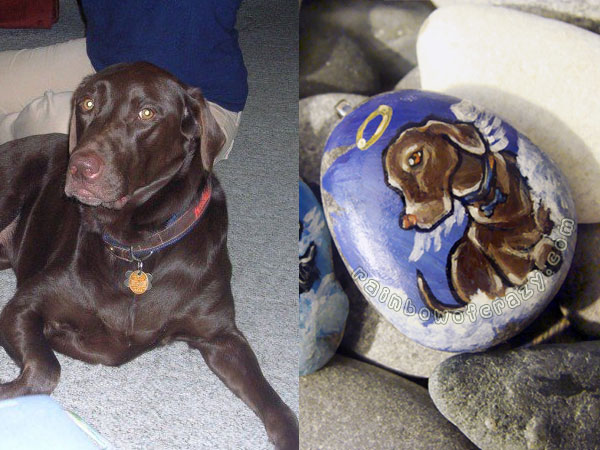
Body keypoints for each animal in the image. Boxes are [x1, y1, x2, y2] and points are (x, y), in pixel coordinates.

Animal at [384, 119, 556, 312]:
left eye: (415, 158)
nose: (406, 221)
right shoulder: (489, 245)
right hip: (462, 256)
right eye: (396, 186)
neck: (490, 196)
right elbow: (520, 268)